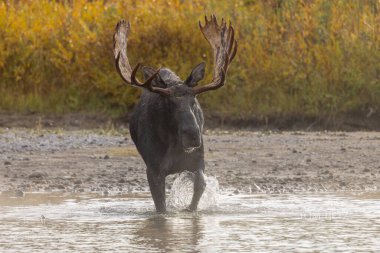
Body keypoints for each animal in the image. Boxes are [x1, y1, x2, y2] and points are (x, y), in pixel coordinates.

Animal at [113, 13, 238, 211]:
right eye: (169, 104)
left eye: (194, 101)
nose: (193, 135)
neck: (175, 147)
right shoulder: (153, 169)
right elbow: (161, 207)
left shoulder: (198, 163)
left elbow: (199, 189)